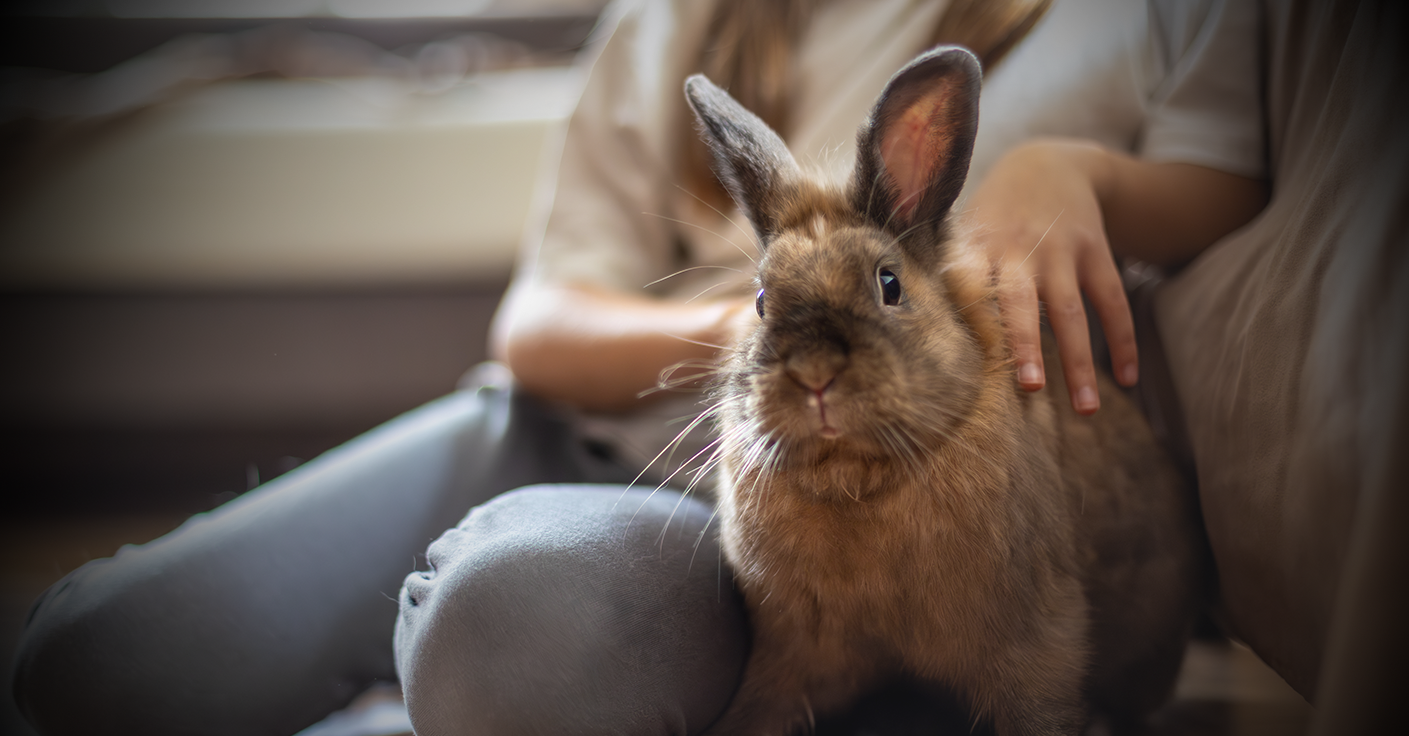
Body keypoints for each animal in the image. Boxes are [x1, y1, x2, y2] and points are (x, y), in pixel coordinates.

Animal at [683, 46, 1205, 736]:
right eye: (763, 301)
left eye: (889, 284)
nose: (815, 373)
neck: (857, 483)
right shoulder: (793, 653)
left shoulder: (1036, 645)